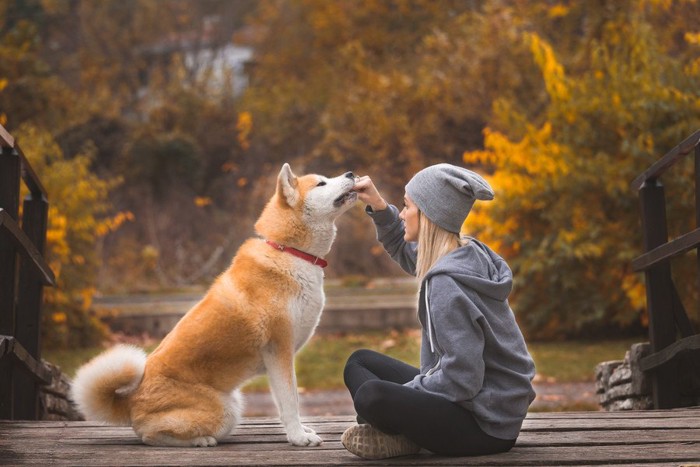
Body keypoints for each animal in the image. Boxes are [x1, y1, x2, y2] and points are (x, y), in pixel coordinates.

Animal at [72, 164, 358, 446]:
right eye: (321, 183)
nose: (351, 174)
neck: (288, 251)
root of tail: (131, 400)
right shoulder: (280, 350)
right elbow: (290, 401)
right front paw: (299, 437)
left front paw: (301, 431)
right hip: (226, 411)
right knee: (149, 435)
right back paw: (200, 440)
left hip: (233, 402)